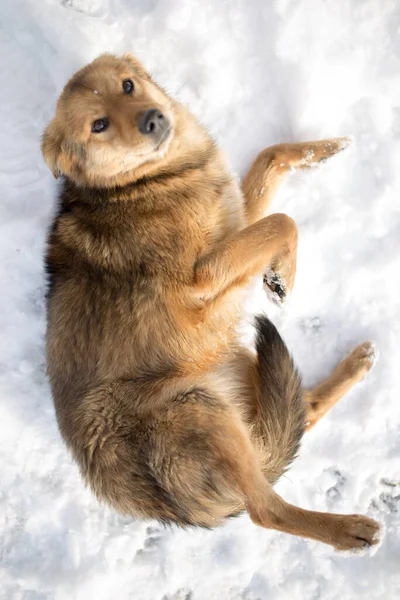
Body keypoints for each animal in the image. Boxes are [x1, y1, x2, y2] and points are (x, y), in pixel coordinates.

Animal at [42, 54, 380, 552]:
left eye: (128, 85)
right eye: (98, 125)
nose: (153, 119)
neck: (149, 178)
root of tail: (165, 507)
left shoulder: (236, 223)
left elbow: (270, 158)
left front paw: (324, 148)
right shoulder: (205, 275)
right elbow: (283, 221)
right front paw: (283, 276)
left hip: (238, 375)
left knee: (301, 414)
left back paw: (358, 364)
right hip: (199, 408)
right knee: (265, 508)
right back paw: (351, 531)